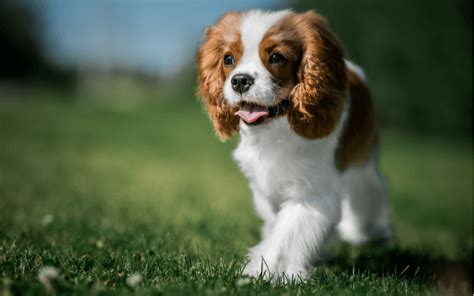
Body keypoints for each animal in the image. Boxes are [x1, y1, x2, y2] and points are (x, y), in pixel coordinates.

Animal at [196, 8, 392, 278]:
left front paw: (265, 272)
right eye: (227, 59)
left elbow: (288, 234)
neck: (277, 130)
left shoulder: (311, 192)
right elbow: (279, 224)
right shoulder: (264, 186)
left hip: (362, 165)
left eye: (277, 57)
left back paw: (368, 232)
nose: (240, 80)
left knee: (370, 192)